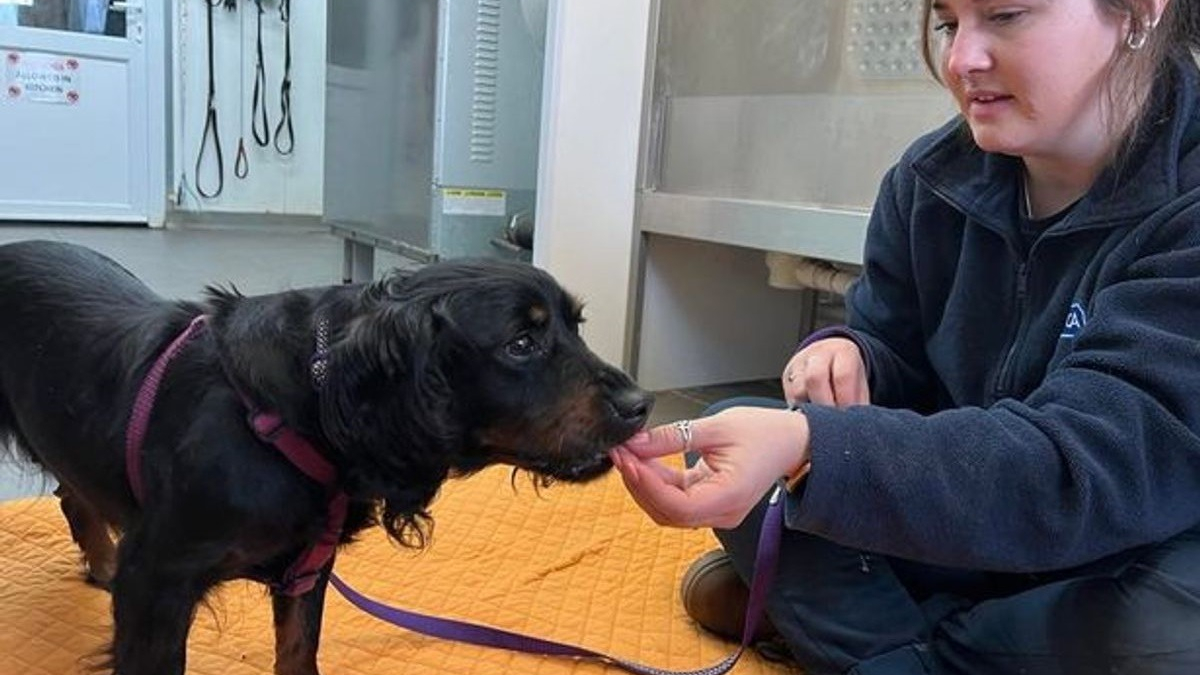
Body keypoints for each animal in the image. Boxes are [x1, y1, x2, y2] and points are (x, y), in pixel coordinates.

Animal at [0, 239, 652, 672]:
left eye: (575, 326)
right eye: (521, 343)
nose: (641, 405)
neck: (298, 410)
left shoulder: (306, 569)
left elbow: (297, 652)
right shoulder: (157, 583)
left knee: (71, 490)